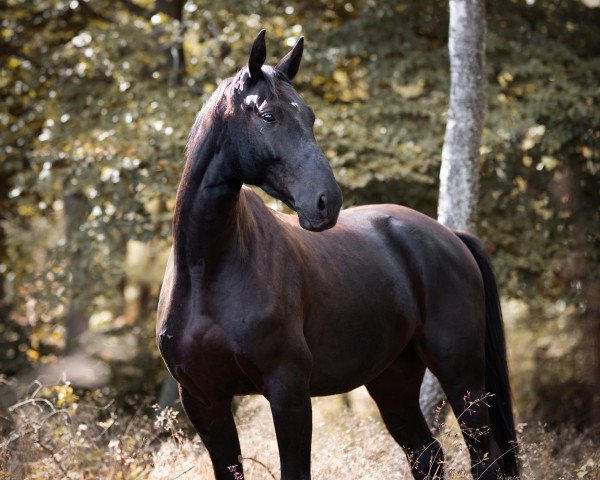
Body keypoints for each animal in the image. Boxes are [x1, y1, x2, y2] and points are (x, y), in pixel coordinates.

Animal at [157, 31, 516, 480]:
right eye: (268, 116)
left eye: (310, 117)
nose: (326, 202)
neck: (207, 270)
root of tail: (451, 236)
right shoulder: (203, 400)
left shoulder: (288, 391)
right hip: (393, 379)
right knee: (427, 454)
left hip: (461, 374)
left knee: (484, 459)